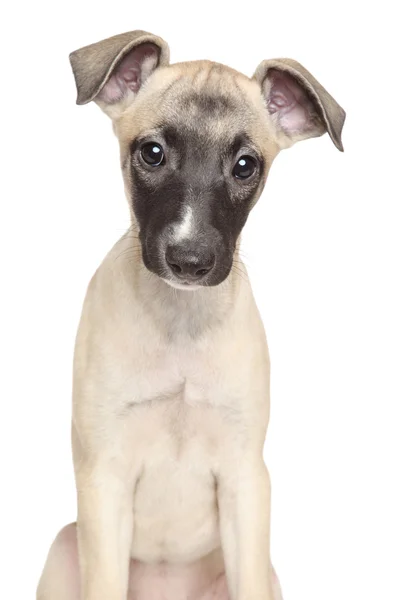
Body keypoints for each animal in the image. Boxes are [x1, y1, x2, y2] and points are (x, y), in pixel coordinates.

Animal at [36, 31, 346, 600]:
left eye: (246, 165)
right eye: (152, 153)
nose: (190, 261)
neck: (179, 324)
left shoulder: (246, 480)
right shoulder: (103, 477)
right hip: (66, 546)